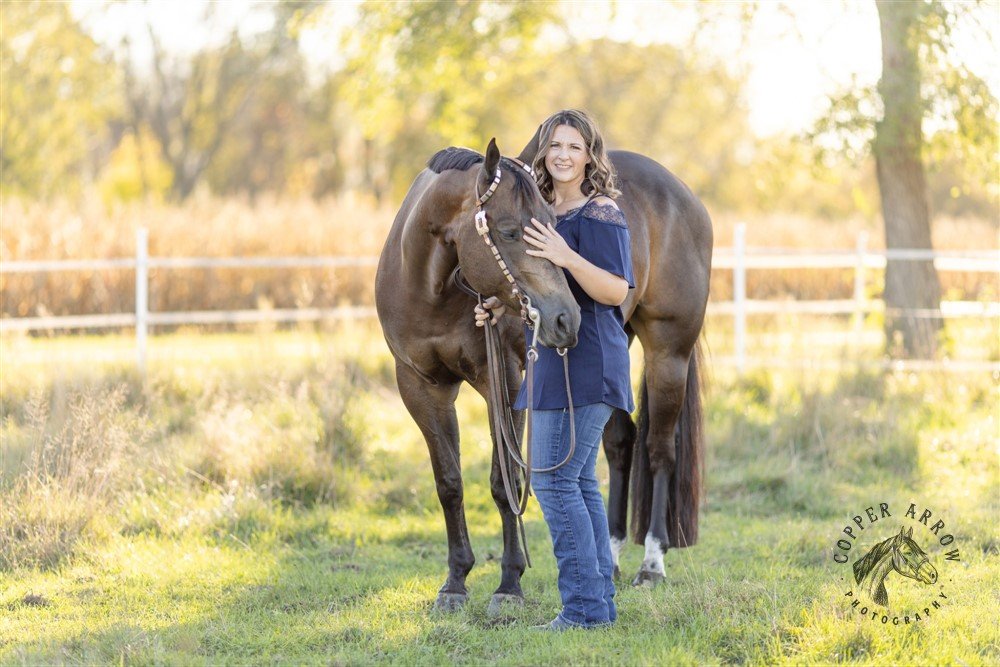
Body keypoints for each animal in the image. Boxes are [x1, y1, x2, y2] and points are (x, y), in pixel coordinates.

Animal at [376, 133, 712, 620]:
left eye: (552, 226)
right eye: (510, 232)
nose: (564, 318)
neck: (430, 288)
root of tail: (685, 195)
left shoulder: (508, 383)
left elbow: (506, 483)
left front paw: (509, 585)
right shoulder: (420, 388)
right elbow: (449, 484)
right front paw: (455, 582)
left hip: (670, 353)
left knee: (659, 450)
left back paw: (651, 564)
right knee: (619, 443)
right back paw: (610, 558)